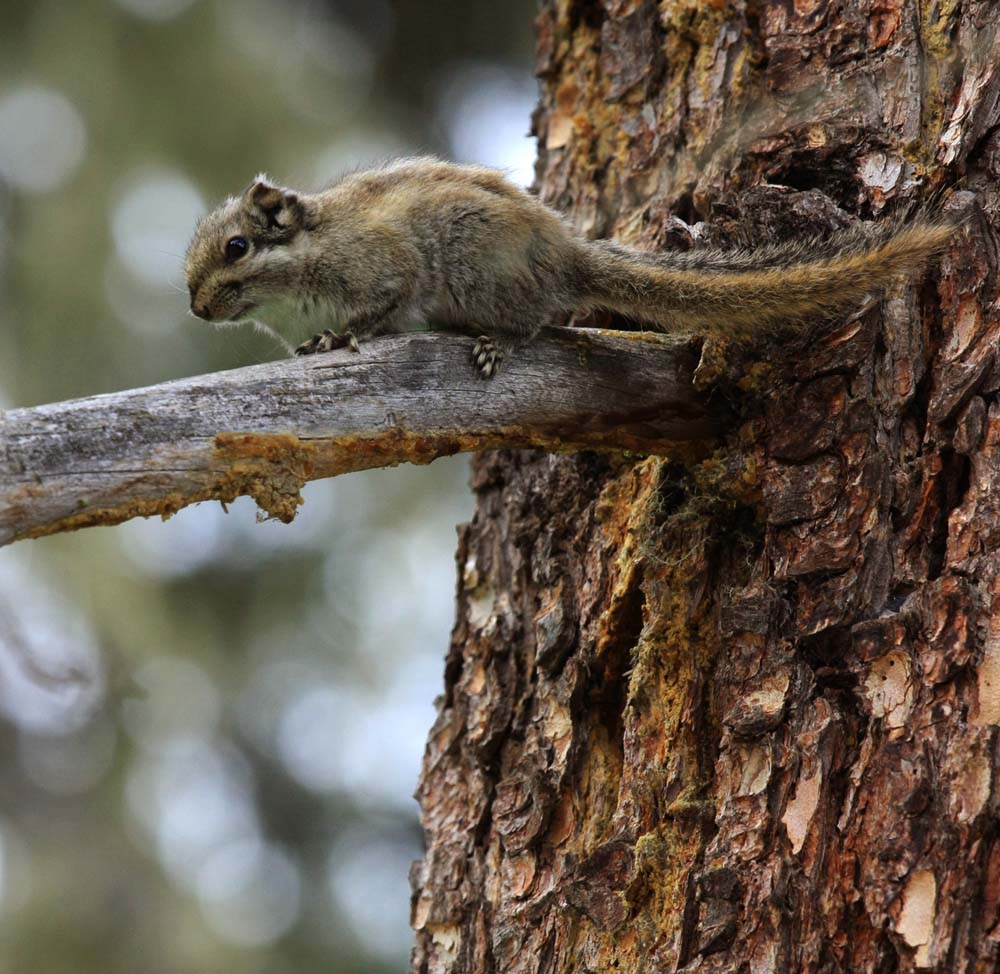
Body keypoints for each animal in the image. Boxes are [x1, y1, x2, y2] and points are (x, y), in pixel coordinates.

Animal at [184, 156, 956, 378]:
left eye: (237, 248)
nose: (194, 308)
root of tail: (567, 256)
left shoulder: (380, 266)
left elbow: (379, 308)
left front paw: (340, 337)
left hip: (481, 273)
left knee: (535, 321)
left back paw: (499, 342)